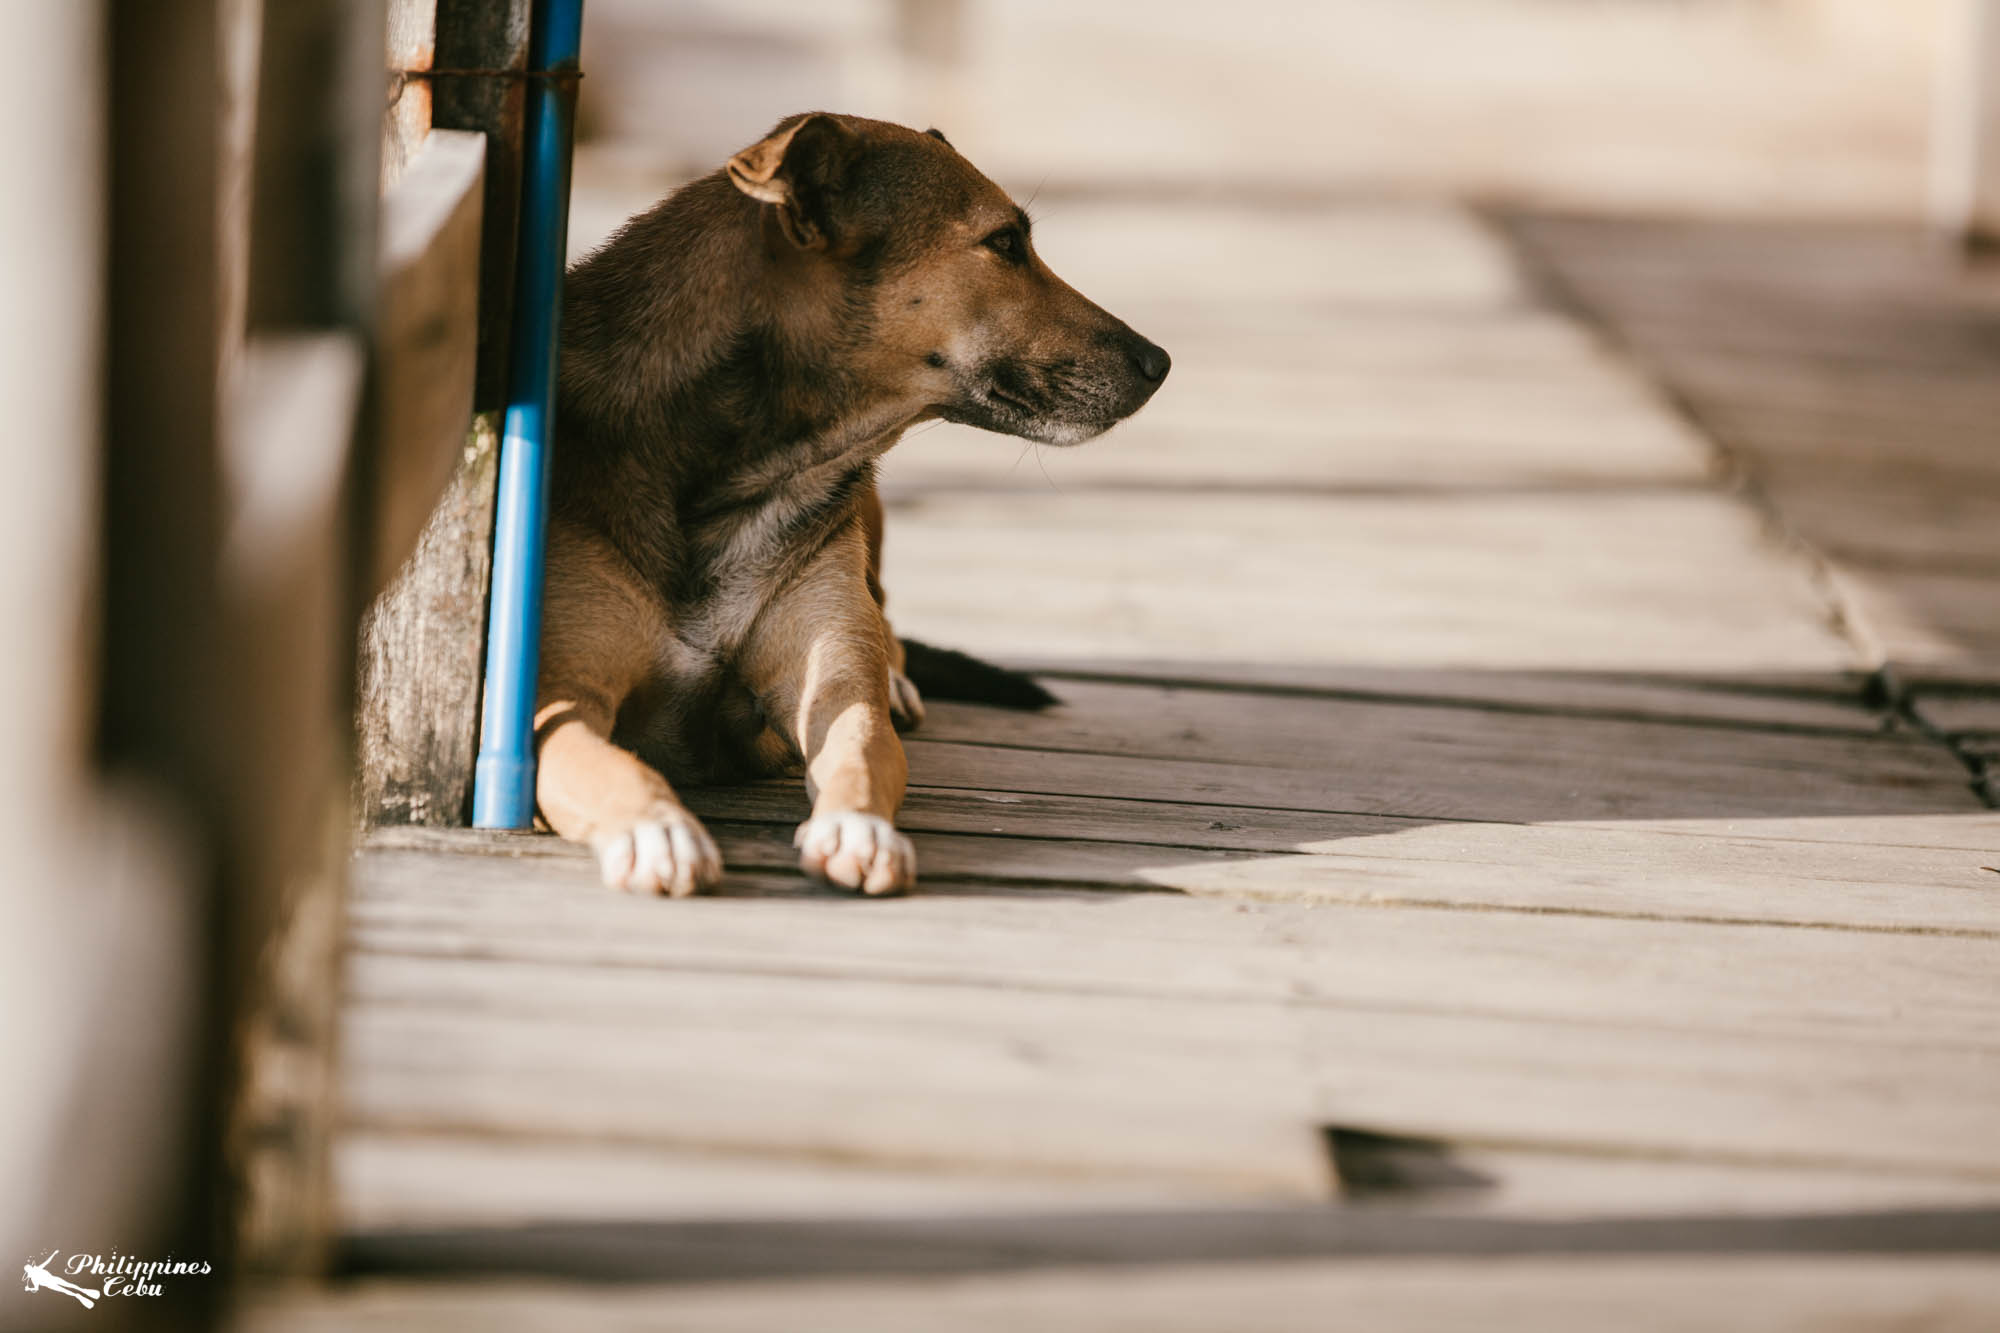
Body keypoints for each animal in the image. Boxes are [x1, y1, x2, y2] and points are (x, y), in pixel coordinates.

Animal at [540, 114, 1176, 892]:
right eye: (1005, 243)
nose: (1159, 363)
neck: (744, 475)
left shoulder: (838, 680)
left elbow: (862, 751)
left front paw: (858, 829)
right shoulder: (556, 702)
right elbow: (604, 766)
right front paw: (655, 829)